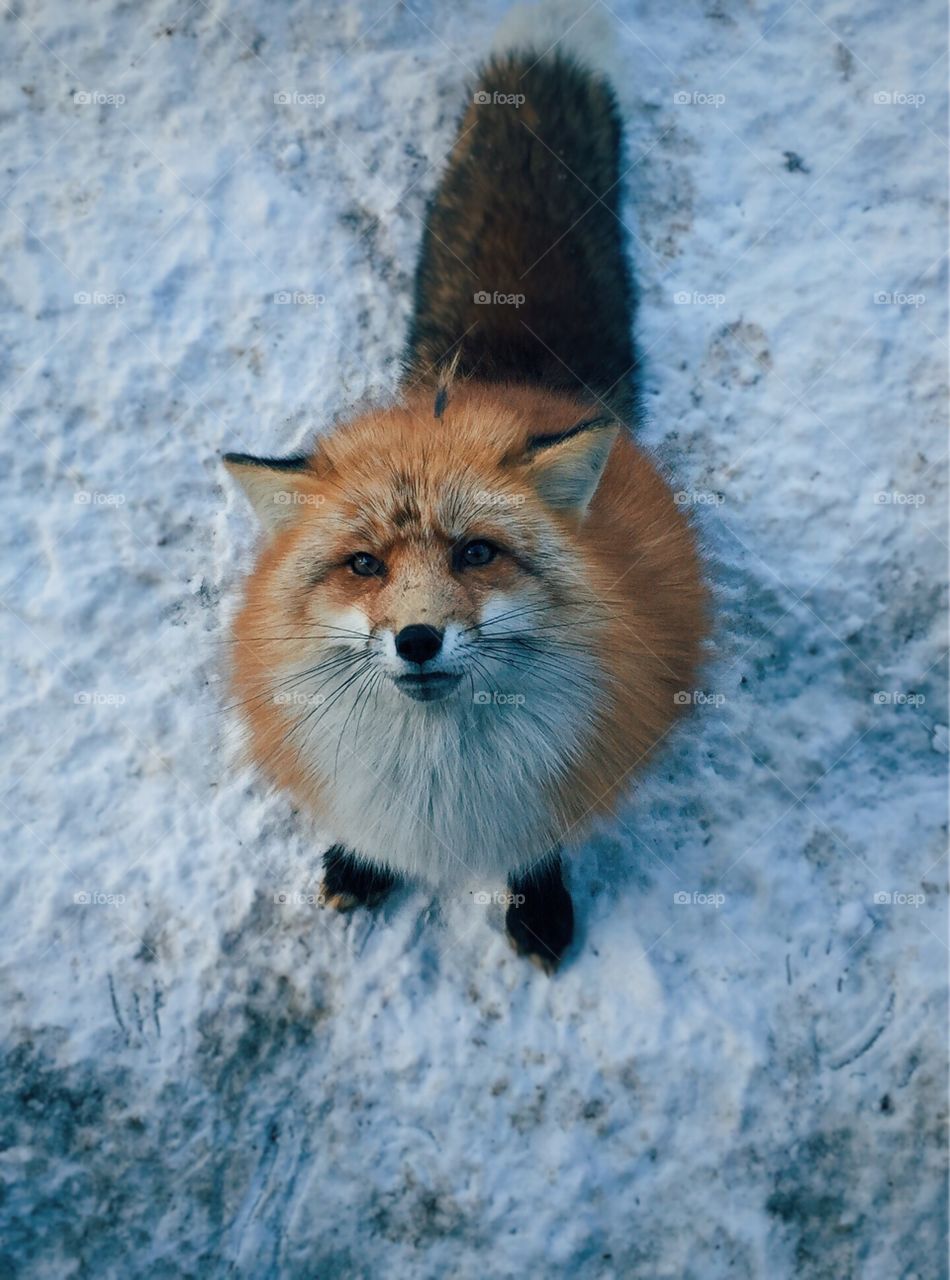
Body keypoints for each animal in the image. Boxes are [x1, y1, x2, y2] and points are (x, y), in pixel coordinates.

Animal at [224, 2, 707, 972]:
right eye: (364, 566)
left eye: (478, 553)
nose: (417, 639)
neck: (436, 782)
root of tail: (491, 379)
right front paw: (362, 862)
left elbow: (541, 840)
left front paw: (539, 901)